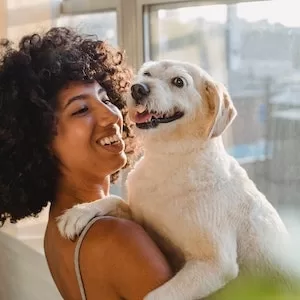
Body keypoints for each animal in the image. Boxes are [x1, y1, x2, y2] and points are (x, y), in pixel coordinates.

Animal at [57, 59, 296, 298]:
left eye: (178, 82)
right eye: (147, 73)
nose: (138, 89)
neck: (168, 160)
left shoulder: (214, 264)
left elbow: (155, 296)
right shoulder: (140, 218)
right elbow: (115, 200)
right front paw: (81, 211)